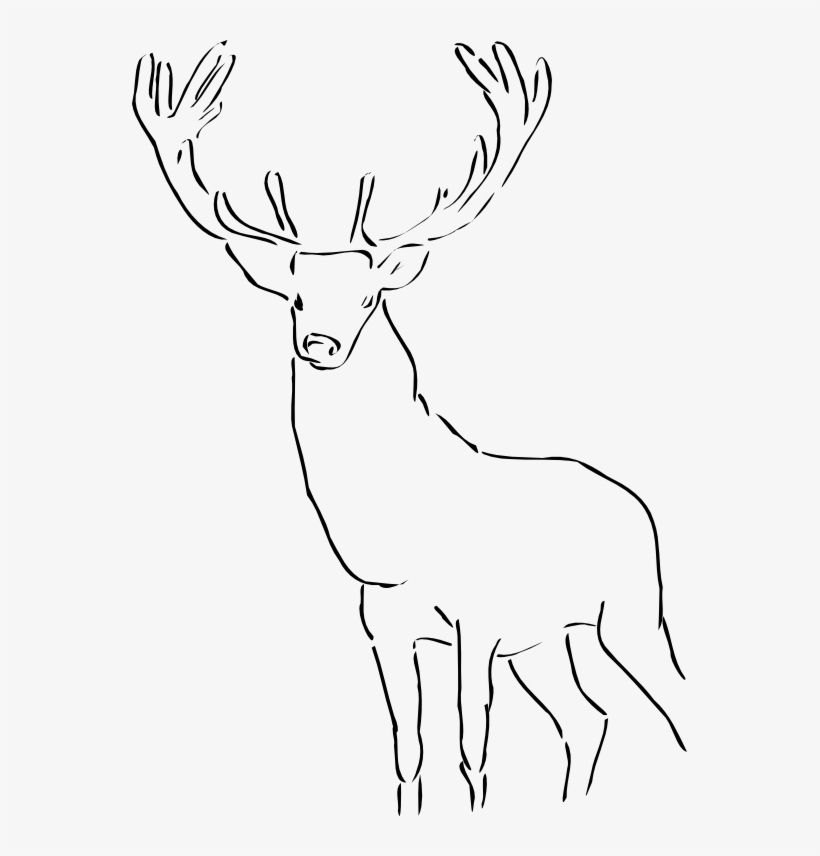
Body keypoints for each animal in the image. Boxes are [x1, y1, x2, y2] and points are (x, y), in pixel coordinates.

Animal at [133, 40, 687, 815]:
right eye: (296, 298)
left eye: (369, 297)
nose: (322, 344)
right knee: (589, 719)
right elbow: (409, 750)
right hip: (546, 641)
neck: (397, 539)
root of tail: (639, 506)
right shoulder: (385, 630)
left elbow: (472, 753)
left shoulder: (478, 624)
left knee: (673, 699)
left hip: (632, 612)